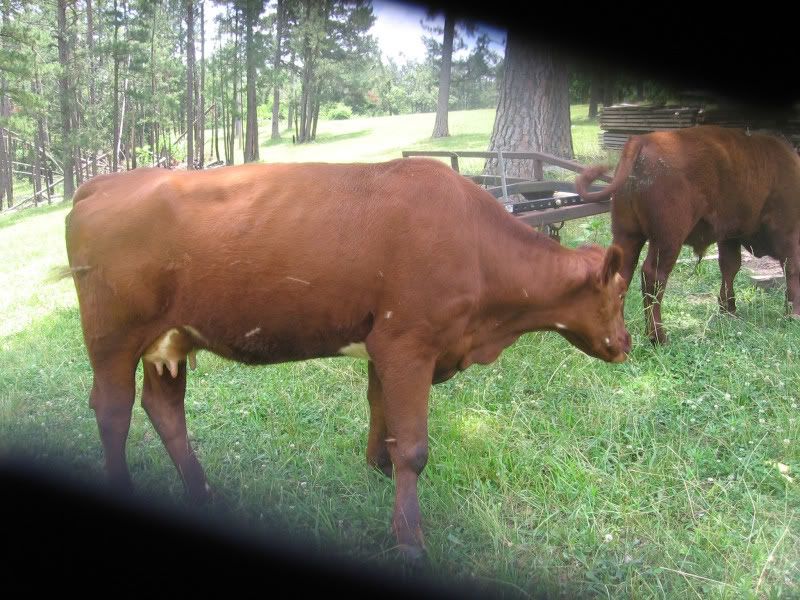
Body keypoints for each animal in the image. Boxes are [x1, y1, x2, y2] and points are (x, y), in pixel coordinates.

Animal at [62, 158, 631, 561]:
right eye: (620, 292)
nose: (625, 343)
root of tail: (104, 183)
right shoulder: (409, 343)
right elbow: (414, 448)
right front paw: (409, 540)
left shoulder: (384, 346)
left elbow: (382, 412)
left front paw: (377, 467)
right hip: (112, 338)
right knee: (112, 409)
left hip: (168, 341)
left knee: (164, 409)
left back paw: (203, 495)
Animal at [575, 125, 800, 344]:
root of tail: (643, 140)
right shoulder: (789, 234)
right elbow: (792, 269)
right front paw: (794, 314)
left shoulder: (729, 236)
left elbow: (730, 267)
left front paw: (728, 310)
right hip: (668, 239)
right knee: (653, 276)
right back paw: (658, 337)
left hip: (627, 234)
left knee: (622, 275)